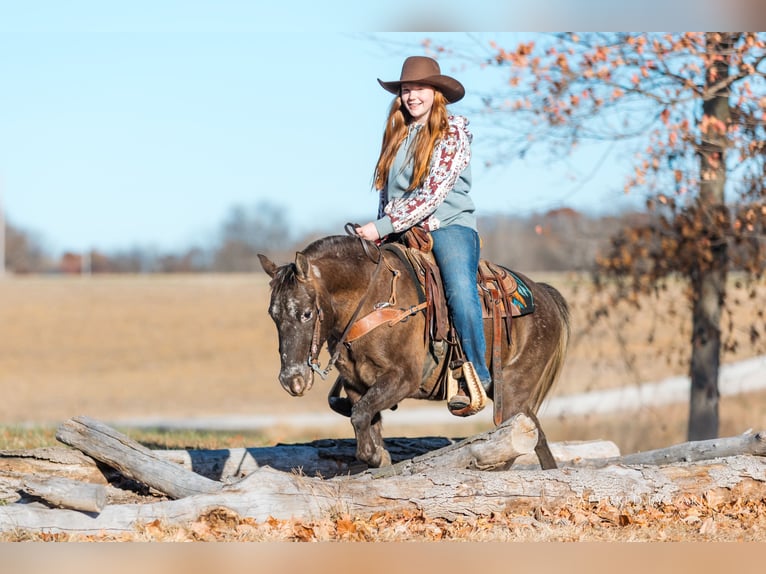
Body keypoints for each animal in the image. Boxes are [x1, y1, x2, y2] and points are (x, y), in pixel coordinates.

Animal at [258, 233, 570, 469]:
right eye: (273, 315)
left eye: (307, 313)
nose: (292, 380)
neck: (371, 301)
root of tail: (544, 294)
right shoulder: (356, 384)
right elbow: (365, 418)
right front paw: (378, 457)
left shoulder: (403, 378)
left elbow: (360, 415)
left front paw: (376, 457)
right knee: (536, 435)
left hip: (515, 389)